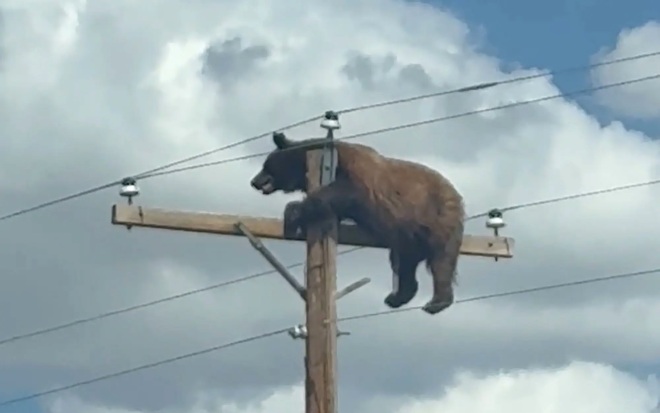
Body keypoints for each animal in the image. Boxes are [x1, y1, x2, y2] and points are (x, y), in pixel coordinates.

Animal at [250, 132, 465, 315]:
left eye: (266, 164)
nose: (254, 181)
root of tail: (457, 195)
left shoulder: (356, 175)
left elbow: (343, 191)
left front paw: (292, 213)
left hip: (438, 217)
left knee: (441, 260)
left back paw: (436, 302)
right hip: (408, 236)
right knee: (404, 264)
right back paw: (396, 297)